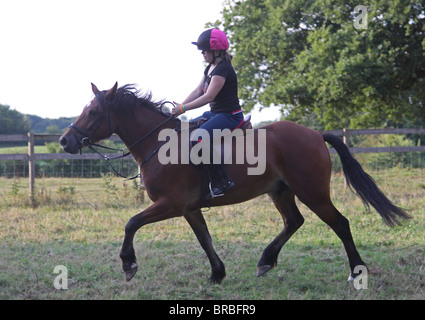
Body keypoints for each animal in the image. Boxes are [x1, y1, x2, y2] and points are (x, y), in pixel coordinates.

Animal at [58, 84, 410, 284]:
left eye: (93, 111)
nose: (64, 141)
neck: (160, 144)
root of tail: (313, 133)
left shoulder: (170, 204)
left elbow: (131, 223)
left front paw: (129, 264)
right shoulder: (189, 208)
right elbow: (204, 239)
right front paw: (217, 274)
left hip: (313, 192)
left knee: (340, 223)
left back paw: (356, 271)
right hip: (280, 191)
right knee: (294, 221)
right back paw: (266, 261)